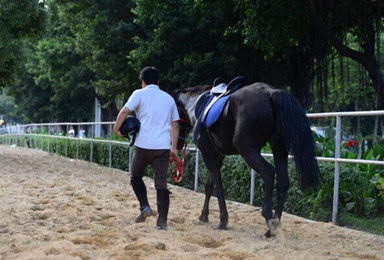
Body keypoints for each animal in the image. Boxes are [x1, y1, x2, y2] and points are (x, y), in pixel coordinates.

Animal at [172, 81, 320, 238]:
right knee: (283, 181)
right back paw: (273, 225)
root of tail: (271, 92)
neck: (196, 105)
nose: (178, 144)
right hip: (278, 148)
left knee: (268, 172)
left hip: (248, 150)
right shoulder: (218, 156)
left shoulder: (208, 154)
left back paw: (268, 219)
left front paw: (223, 220)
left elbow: (218, 187)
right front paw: (203, 216)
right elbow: (209, 186)